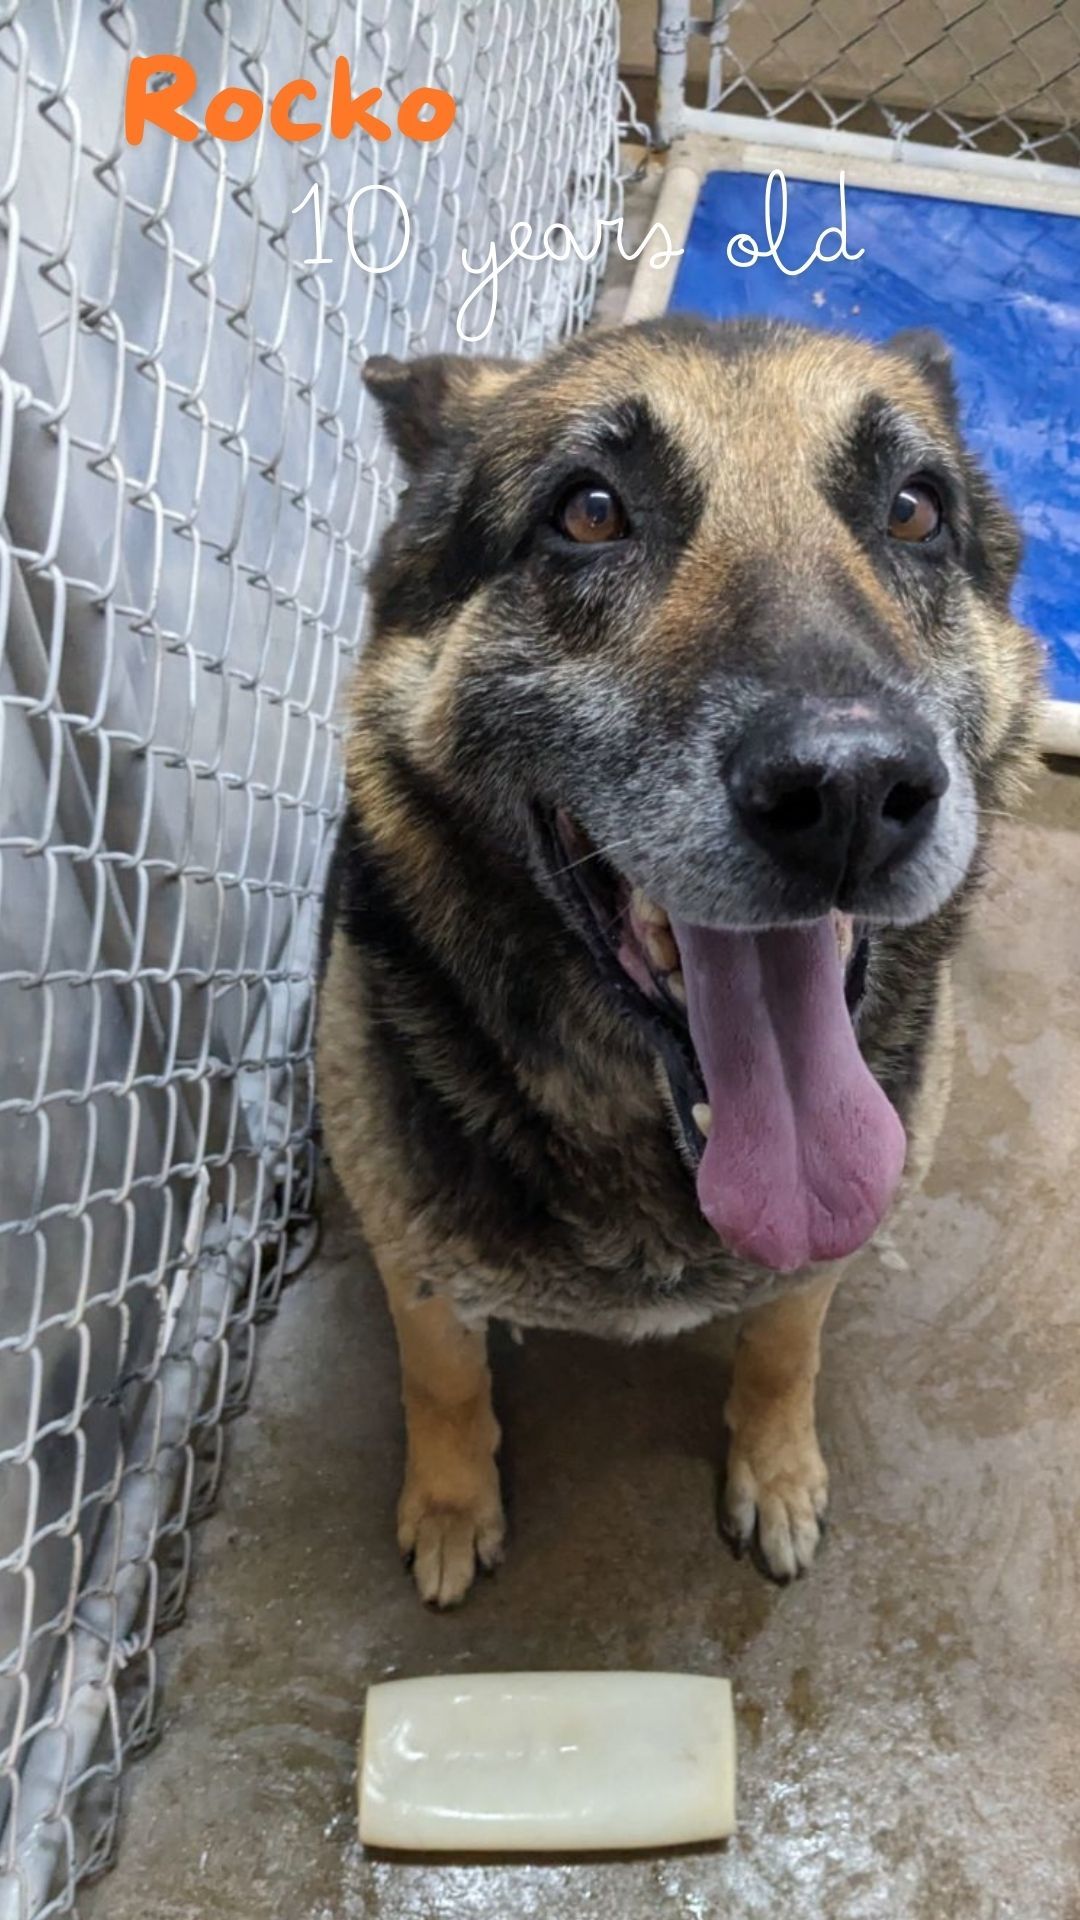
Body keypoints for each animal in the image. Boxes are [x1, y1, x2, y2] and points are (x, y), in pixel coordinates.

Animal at [315, 314, 1037, 1605]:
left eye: (915, 511)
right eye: (590, 511)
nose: (850, 793)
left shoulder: (823, 1252)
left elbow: (787, 1341)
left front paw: (778, 1469)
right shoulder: (413, 1247)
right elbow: (441, 1377)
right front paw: (451, 1505)